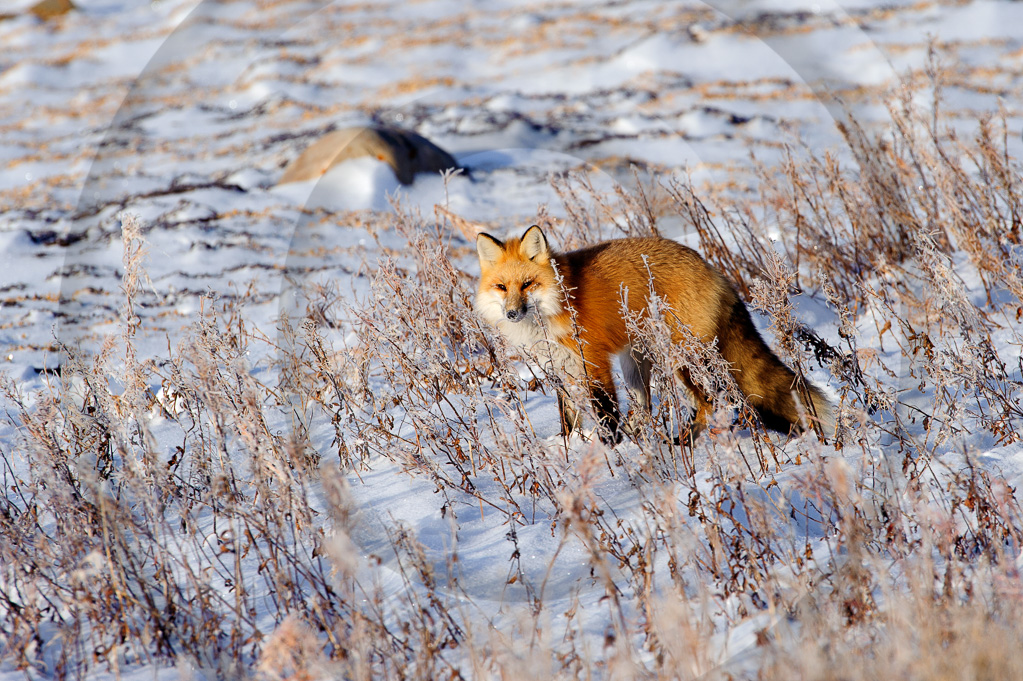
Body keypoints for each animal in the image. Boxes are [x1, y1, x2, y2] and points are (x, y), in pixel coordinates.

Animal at [474, 224, 834, 443]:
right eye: (502, 287)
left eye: (528, 284)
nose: (512, 313)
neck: (558, 302)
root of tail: (713, 270)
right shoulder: (560, 366)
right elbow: (569, 417)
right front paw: (567, 448)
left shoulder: (593, 361)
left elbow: (606, 411)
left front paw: (610, 450)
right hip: (637, 361)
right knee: (646, 406)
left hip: (679, 358)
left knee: (712, 402)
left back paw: (682, 443)